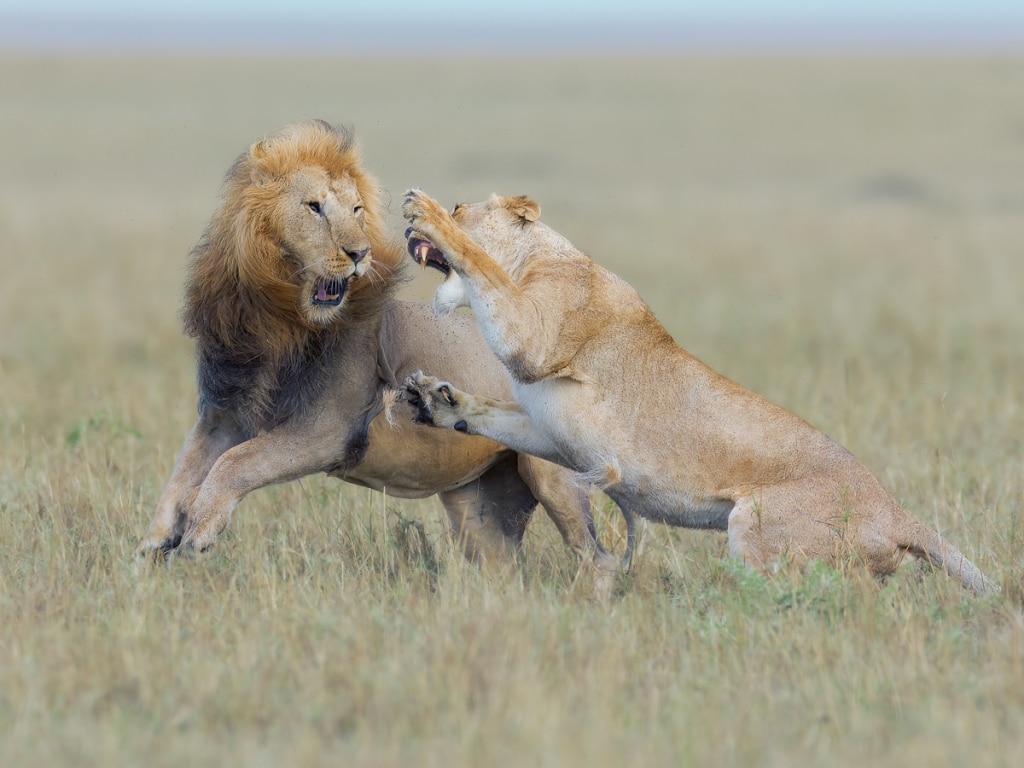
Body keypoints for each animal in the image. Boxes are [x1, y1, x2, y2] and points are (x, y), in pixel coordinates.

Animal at [135, 120, 614, 581]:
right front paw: (152, 546)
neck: (275, 319)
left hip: (554, 476)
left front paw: (198, 529)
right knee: (504, 569)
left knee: (598, 558)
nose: (359, 253)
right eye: (314, 207)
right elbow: (183, 472)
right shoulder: (223, 412)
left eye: (356, 210)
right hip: (478, 505)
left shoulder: (326, 430)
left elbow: (234, 464)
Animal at [397, 188, 999, 593]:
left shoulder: (534, 336)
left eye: (461, 207)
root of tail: (896, 512)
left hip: (756, 529)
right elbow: (489, 413)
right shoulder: (544, 427)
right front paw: (435, 401)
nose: (412, 233)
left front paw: (426, 211)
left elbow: (483, 269)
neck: (541, 257)